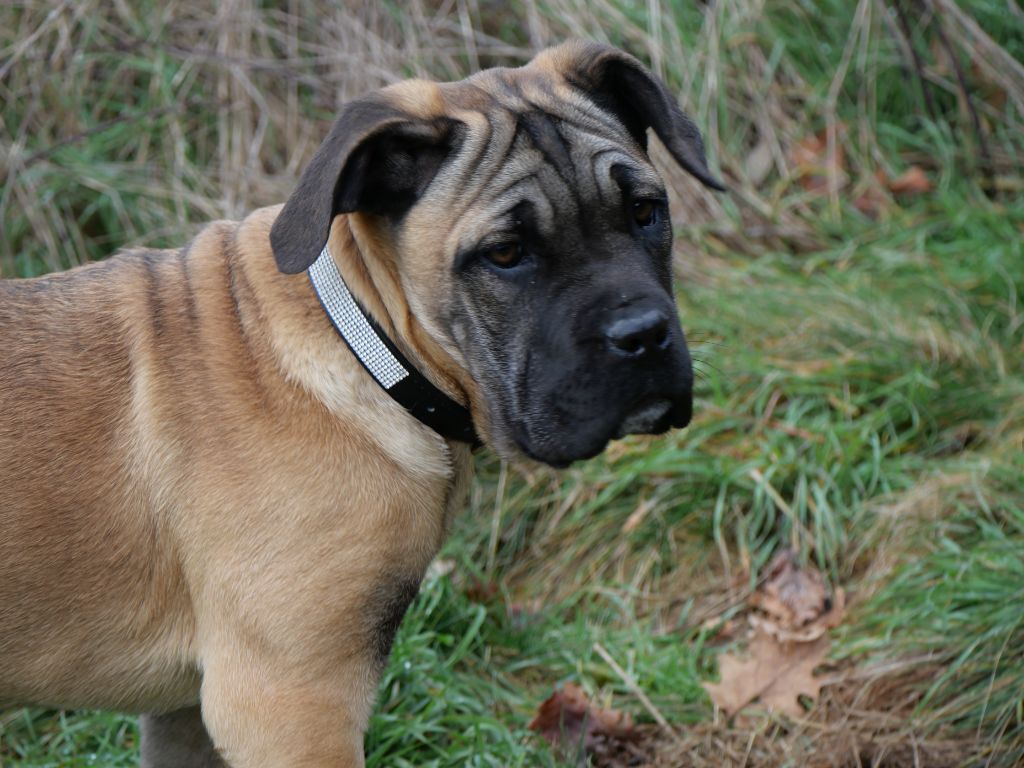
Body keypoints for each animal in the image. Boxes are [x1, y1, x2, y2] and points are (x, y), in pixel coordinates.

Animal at [0, 41, 720, 768]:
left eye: (645, 211)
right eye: (506, 253)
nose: (643, 335)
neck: (368, 350)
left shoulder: (187, 718)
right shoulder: (291, 706)